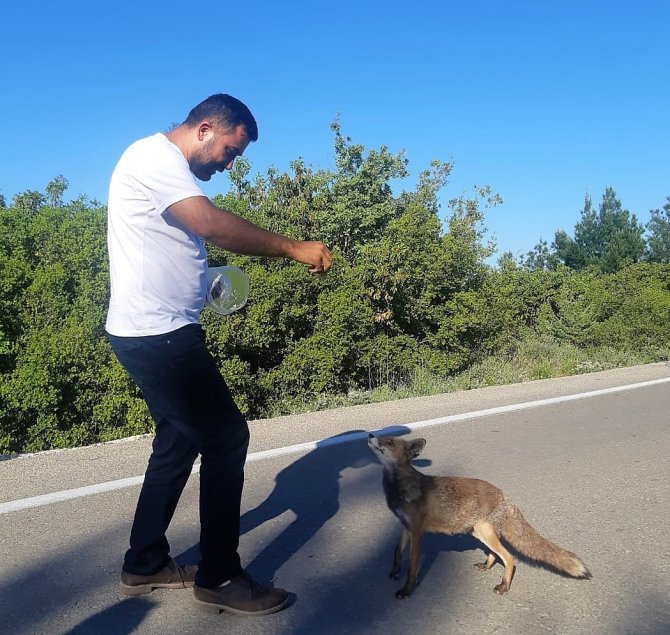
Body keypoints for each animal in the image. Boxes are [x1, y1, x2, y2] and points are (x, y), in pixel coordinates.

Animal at [368, 434, 592, 600]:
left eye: (389, 442)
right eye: (382, 436)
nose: (370, 435)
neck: (400, 487)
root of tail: (504, 495)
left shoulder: (417, 532)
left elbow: (412, 568)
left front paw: (407, 590)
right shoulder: (405, 526)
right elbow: (397, 552)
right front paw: (395, 572)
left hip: (484, 533)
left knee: (510, 558)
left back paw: (504, 585)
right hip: (479, 532)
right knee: (496, 554)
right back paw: (486, 565)